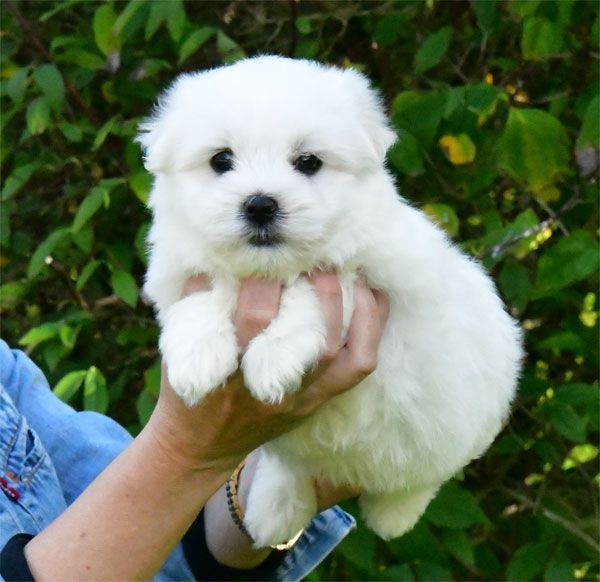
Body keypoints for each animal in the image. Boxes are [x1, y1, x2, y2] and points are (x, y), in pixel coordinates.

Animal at [138, 54, 524, 548]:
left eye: (308, 162)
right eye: (221, 160)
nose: (260, 204)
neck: (270, 270)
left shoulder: (381, 281)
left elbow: (316, 289)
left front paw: (273, 357)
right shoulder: (183, 274)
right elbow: (206, 295)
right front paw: (196, 358)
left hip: (463, 420)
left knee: (424, 475)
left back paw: (392, 514)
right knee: (294, 466)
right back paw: (274, 509)